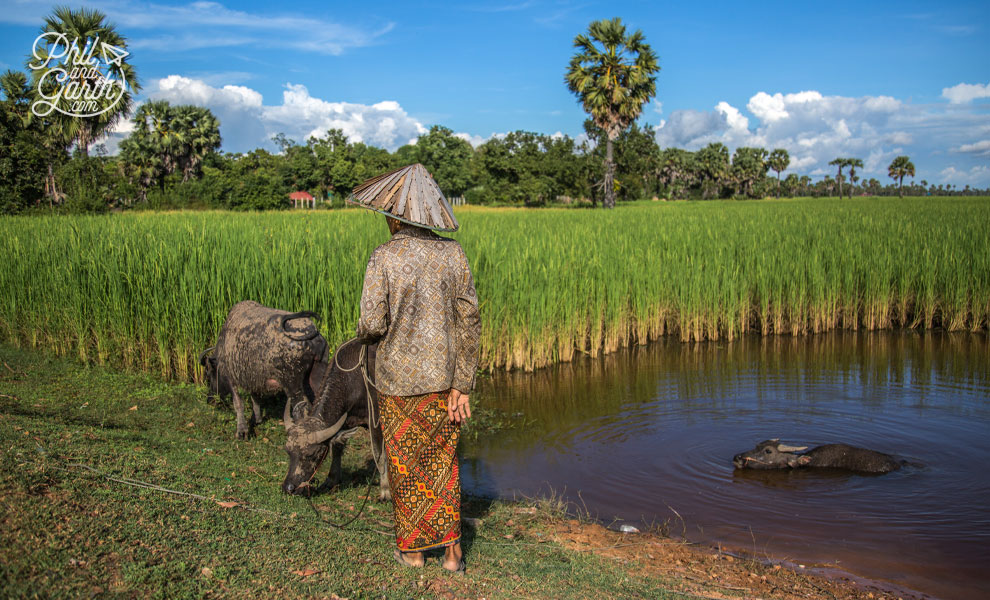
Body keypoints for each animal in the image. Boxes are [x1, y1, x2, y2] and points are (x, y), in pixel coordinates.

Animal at [202, 302, 330, 438]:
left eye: (209, 373)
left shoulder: (231, 378)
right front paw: (256, 419)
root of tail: (312, 334)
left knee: (301, 408)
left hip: (292, 385)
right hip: (318, 373)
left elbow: (238, 403)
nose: (210, 400)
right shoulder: (253, 378)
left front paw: (242, 431)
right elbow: (255, 398)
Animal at [282, 338, 392, 502]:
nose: (289, 488)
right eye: (288, 451)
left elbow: (379, 454)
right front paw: (331, 480)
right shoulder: (343, 420)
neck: (353, 380)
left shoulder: (376, 421)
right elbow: (337, 447)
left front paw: (385, 491)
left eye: (312, 454)